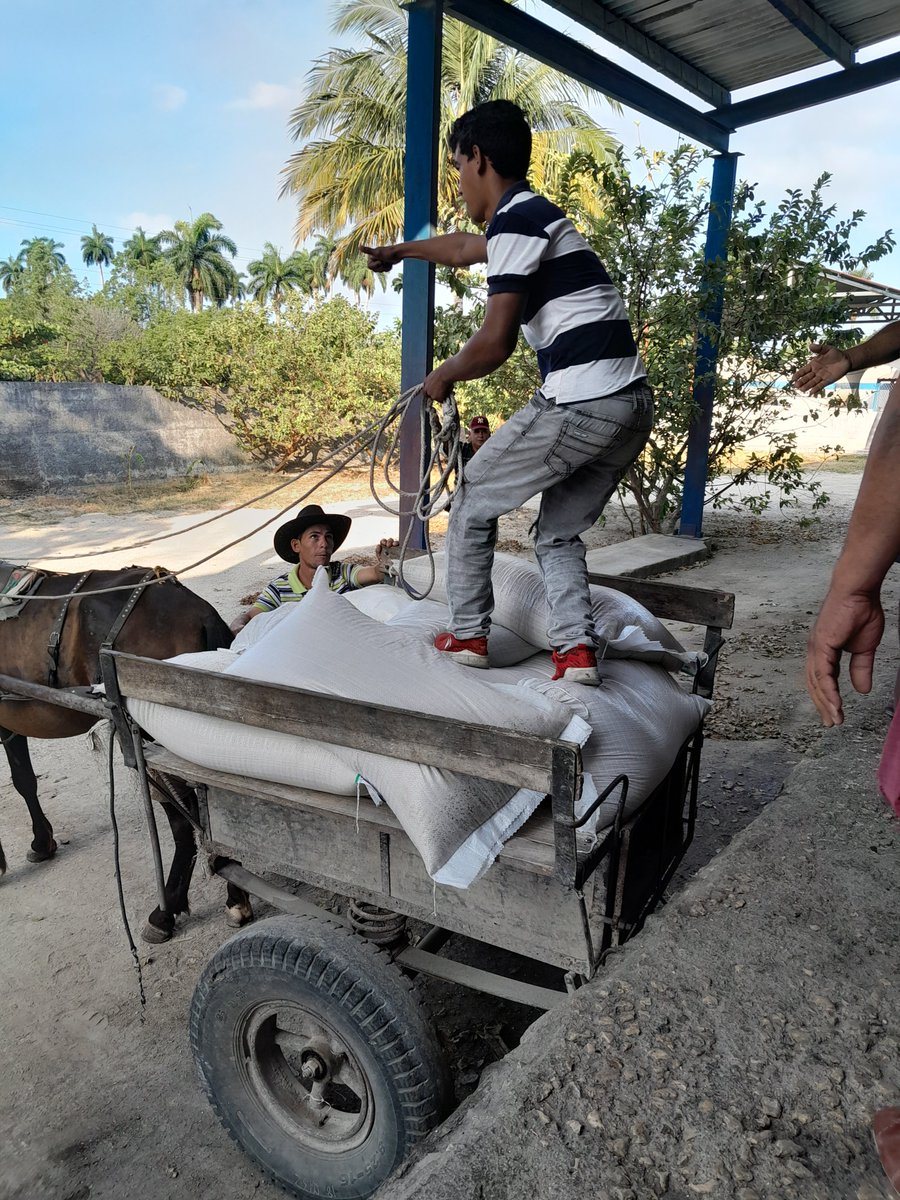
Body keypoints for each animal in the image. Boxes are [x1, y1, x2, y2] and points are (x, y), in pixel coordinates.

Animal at [0, 566, 254, 940]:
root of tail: (199, 611)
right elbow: (25, 780)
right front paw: (42, 843)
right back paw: (234, 893)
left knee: (185, 819)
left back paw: (167, 910)